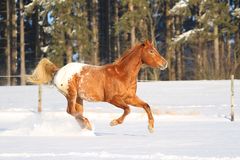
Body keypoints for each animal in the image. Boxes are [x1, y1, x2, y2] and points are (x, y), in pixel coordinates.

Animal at [28, 40, 167, 132]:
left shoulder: (130, 97)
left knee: (76, 113)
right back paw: (88, 125)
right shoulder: (112, 99)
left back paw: (86, 127)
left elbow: (146, 106)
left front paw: (151, 128)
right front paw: (113, 122)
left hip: (79, 98)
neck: (121, 74)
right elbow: (127, 109)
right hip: (71, 94)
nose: (165, 63)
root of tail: (58, 70)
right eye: (151, 51)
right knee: (71, 111)